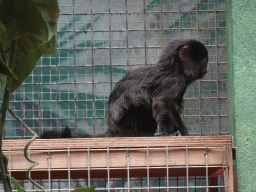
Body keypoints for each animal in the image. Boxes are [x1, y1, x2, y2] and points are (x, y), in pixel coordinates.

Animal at [40, 39, 208, 139]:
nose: (206, 70)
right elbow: (161, 103)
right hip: (129, 123)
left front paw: (184, 133)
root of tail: (114, 130)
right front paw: (169, 134)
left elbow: (173, 110)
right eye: (204, 62)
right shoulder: (173, 81)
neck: (174, 69)